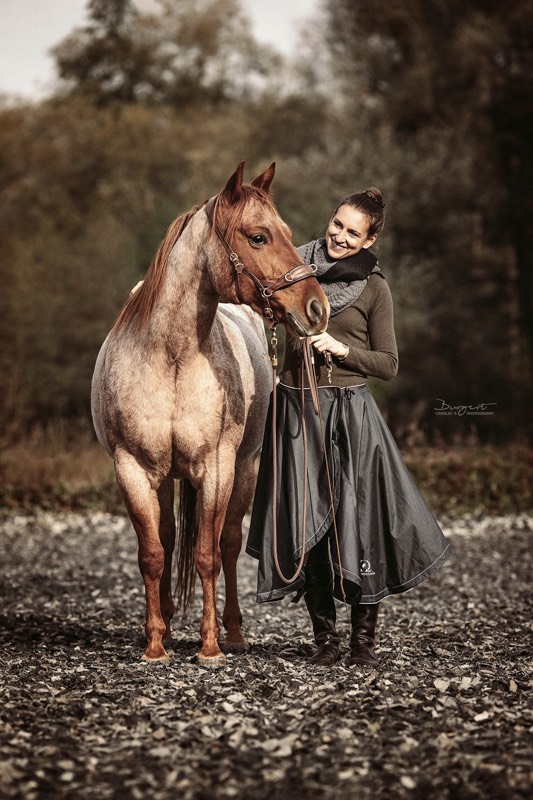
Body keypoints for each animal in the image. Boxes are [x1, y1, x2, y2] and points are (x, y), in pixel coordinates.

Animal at [90, 161, 328, 664]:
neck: (171, 357)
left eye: (287, 233)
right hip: (164, 479)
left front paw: (211, 646)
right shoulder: (132, 471)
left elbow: (208, 554)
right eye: (258, 236)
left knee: (229, 543)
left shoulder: (216, 469)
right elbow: (153, 555)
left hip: (245, 470)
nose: (317, 308)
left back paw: (233, 631)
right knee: (168, 538)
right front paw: (155, 645)